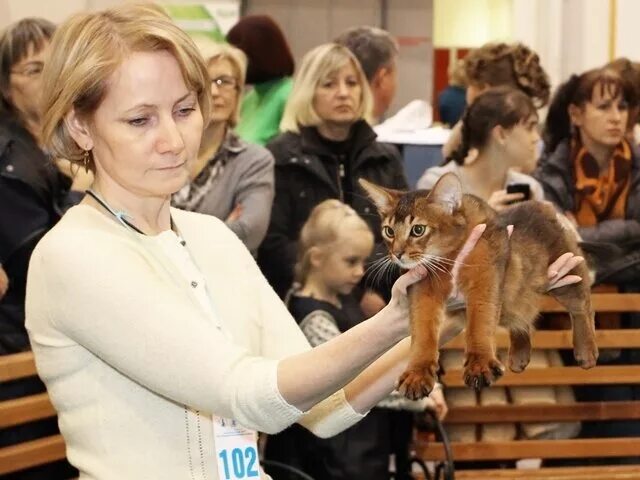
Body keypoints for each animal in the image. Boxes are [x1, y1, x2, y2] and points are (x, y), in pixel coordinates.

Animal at [360, 174, 600, 400]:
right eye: (389, 231)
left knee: (583, 307)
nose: (397, 254)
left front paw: (480, 364)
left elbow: (479, 323)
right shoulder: (421, 290)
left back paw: (586, 352)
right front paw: (417, 375)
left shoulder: (484, 280)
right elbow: (422, 331)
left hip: (568, 277)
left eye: (418, 230)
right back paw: (519, 356)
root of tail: (544, 206)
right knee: (521, 319)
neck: (448, 260)